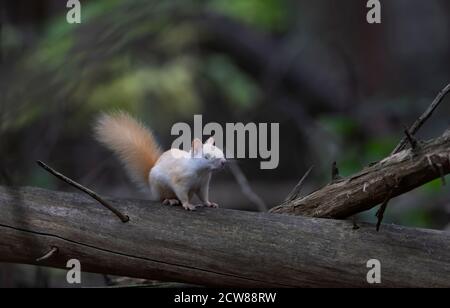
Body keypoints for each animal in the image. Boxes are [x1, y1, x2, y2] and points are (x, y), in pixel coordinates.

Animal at [94, 112, 225, 211]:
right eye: (206, 157)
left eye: (221, 152)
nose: (223, 162)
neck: (201, 172)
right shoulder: (180, 180)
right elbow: (182, 193)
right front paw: (187, 204)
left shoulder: (203, 184)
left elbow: (204, 196)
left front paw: (209, 203)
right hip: (161, 187)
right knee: (163, 198)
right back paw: (170, 200)